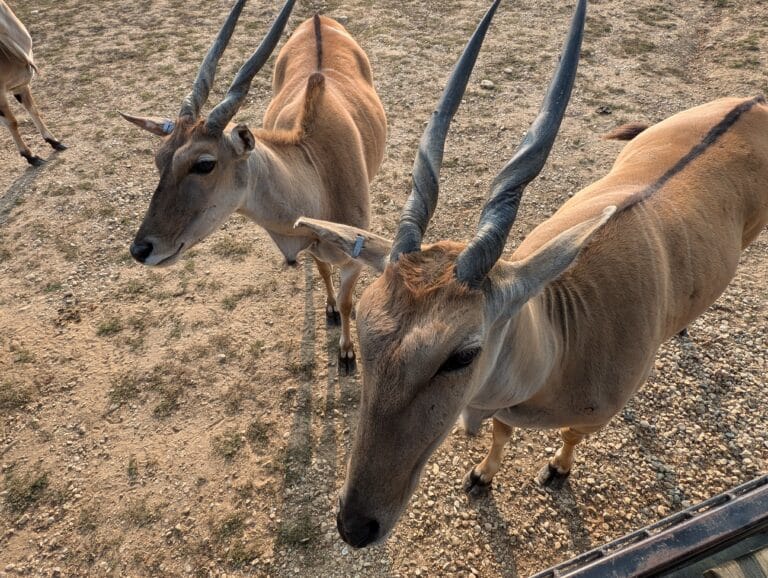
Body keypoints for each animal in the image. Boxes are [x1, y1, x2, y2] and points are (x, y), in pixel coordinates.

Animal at [123, 0, 388, 372]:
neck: (317, 169)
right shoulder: (313, 247)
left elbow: (350, 301)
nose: (141, 250)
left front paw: (347, 352)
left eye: (204, 163)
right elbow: (323, 271)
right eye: (159, 158)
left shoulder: (355, 262)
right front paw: (330, 308)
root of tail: (318, 18)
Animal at [296, 0, 768, 544]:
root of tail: (753, 100)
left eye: (462, 355)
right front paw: (481, 476)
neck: (566, 336)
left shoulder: (590, 417)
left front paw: (556, 470)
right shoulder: (505, 409)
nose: (354, 524)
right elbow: (502, 431)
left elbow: (569, 438)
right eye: (364, 325)